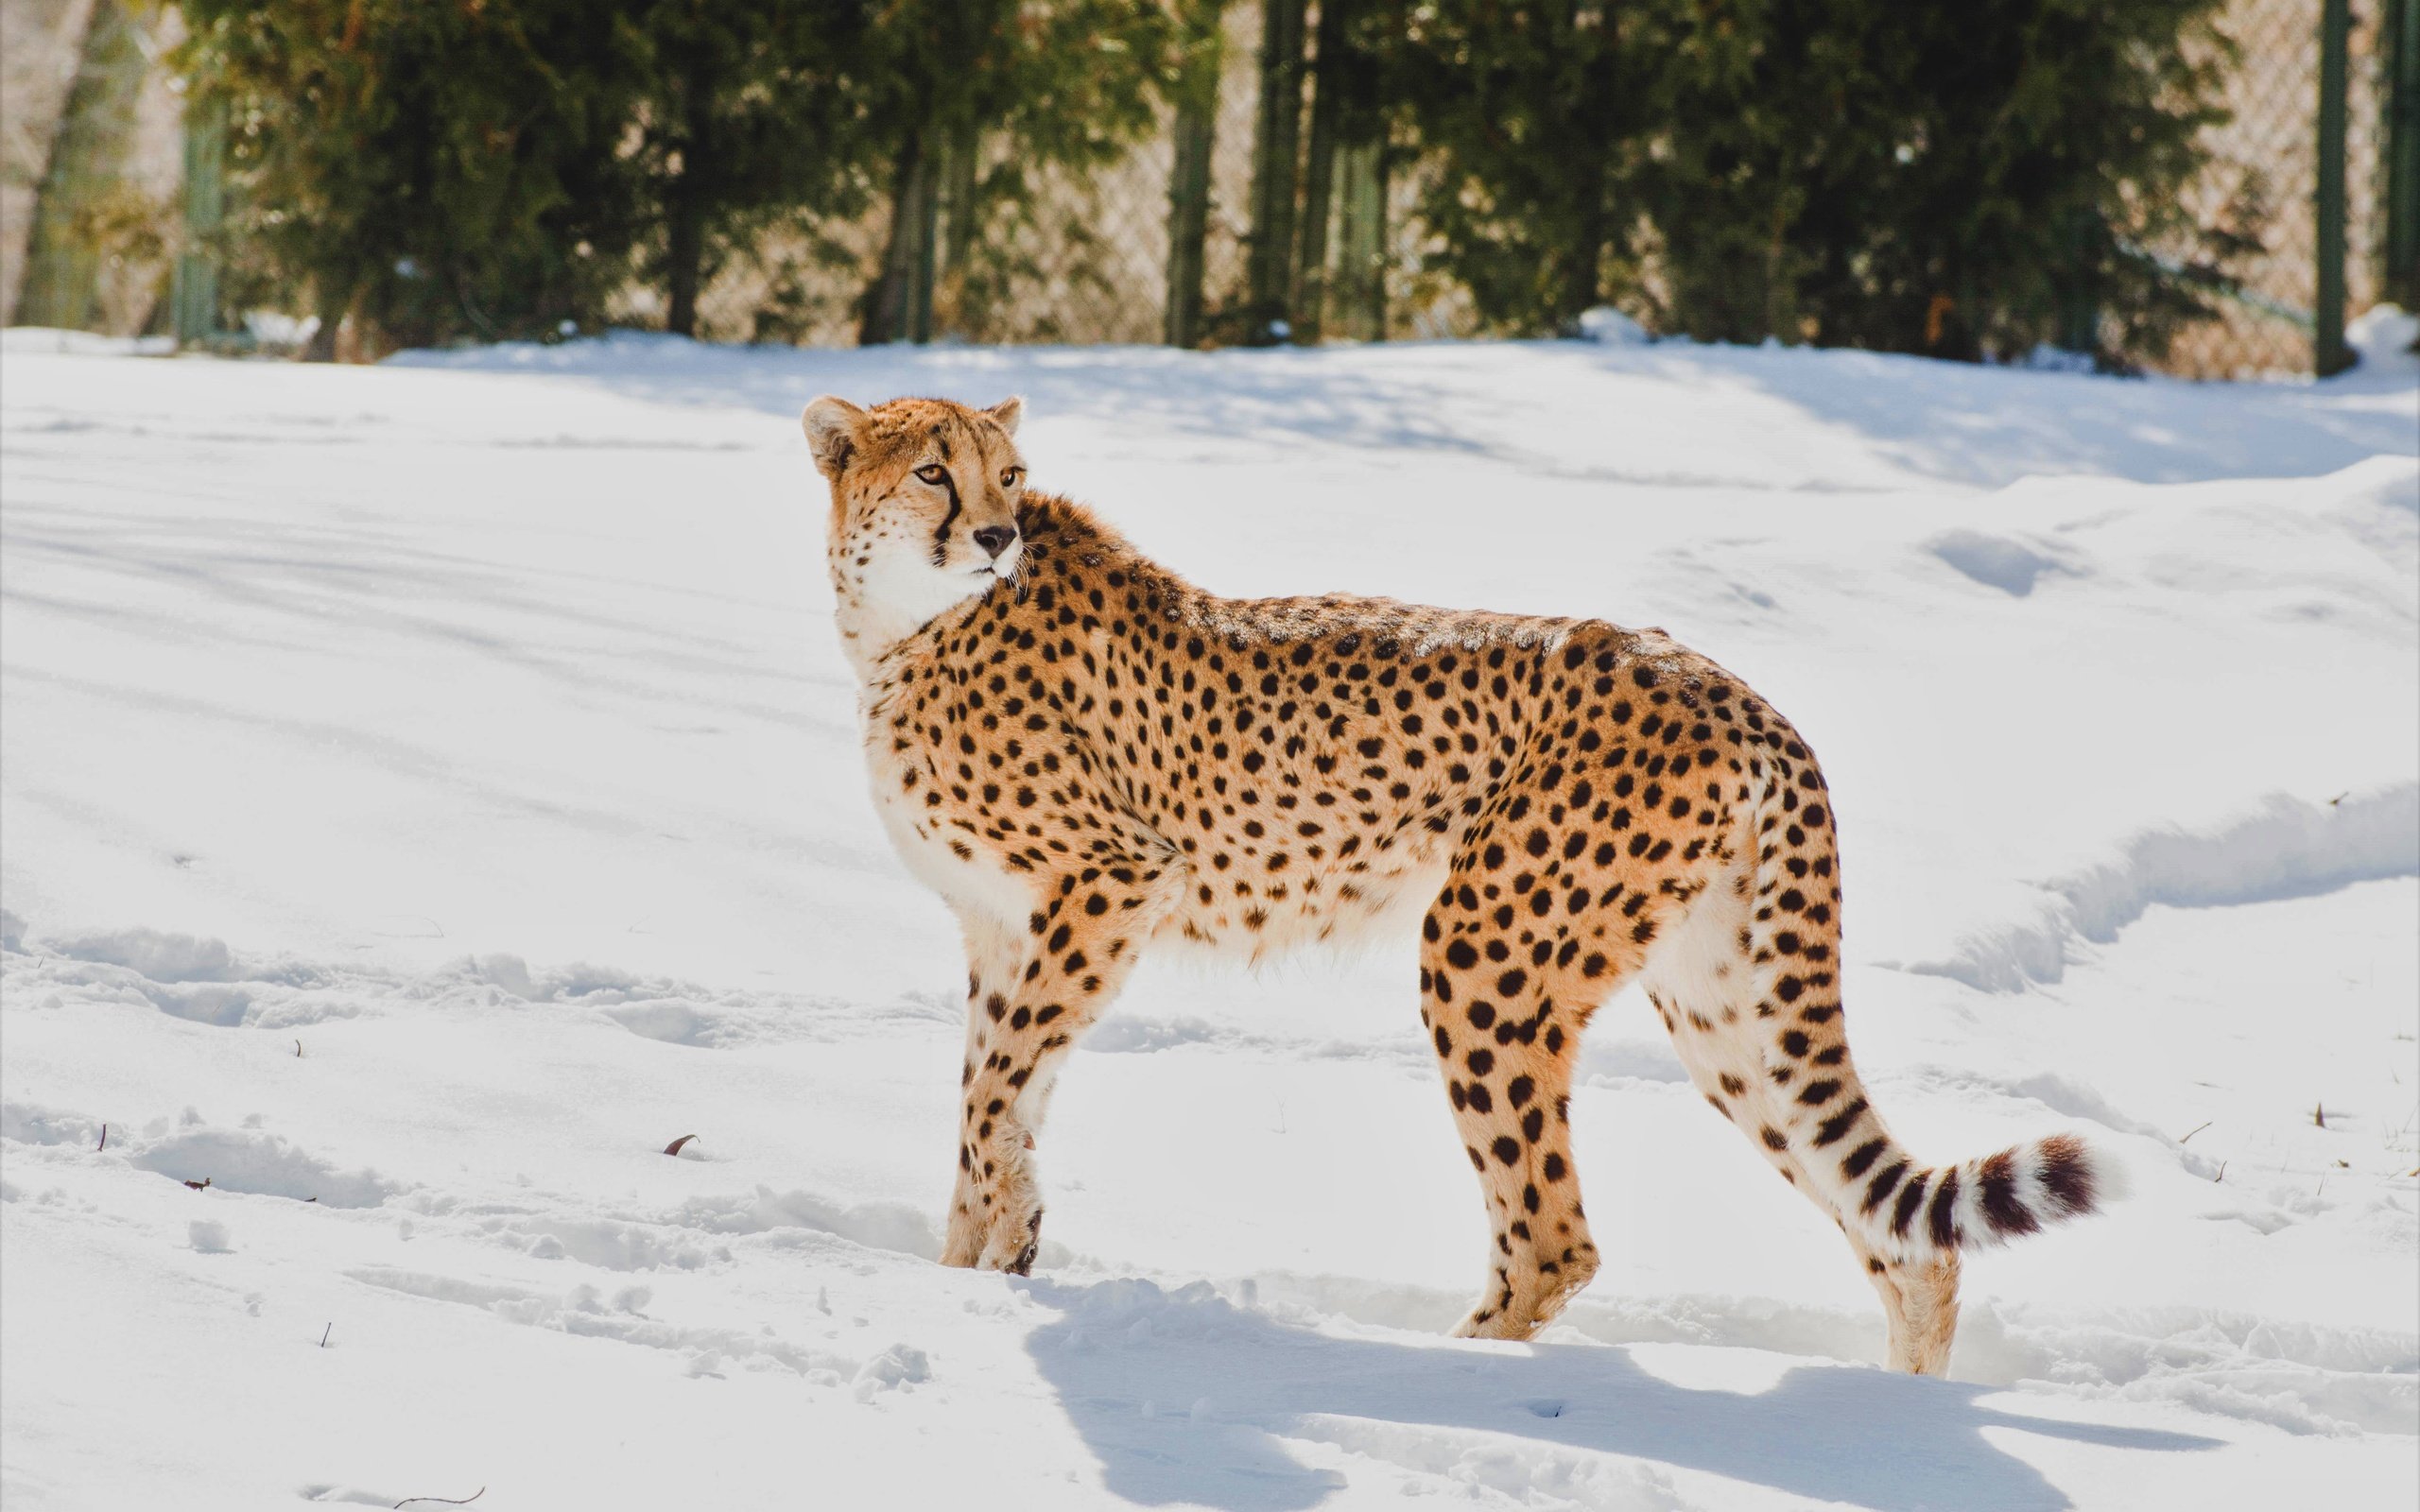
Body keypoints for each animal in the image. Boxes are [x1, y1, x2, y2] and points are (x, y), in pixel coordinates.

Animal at [803, 389, 2110, 1364]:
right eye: (935, 473)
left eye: (1009, 474)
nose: (993, 537)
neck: (903, 627)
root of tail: (1726, 683)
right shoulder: (1004, 928)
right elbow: (991, 1098)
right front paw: (971, 1274)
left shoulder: (1115, 879)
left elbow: (993, 1097)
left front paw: (994, 1255)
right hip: (1721, 1000)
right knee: (1900, 1233)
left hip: (1482, 949)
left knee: (1553, 1234)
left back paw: (1455, 1367)